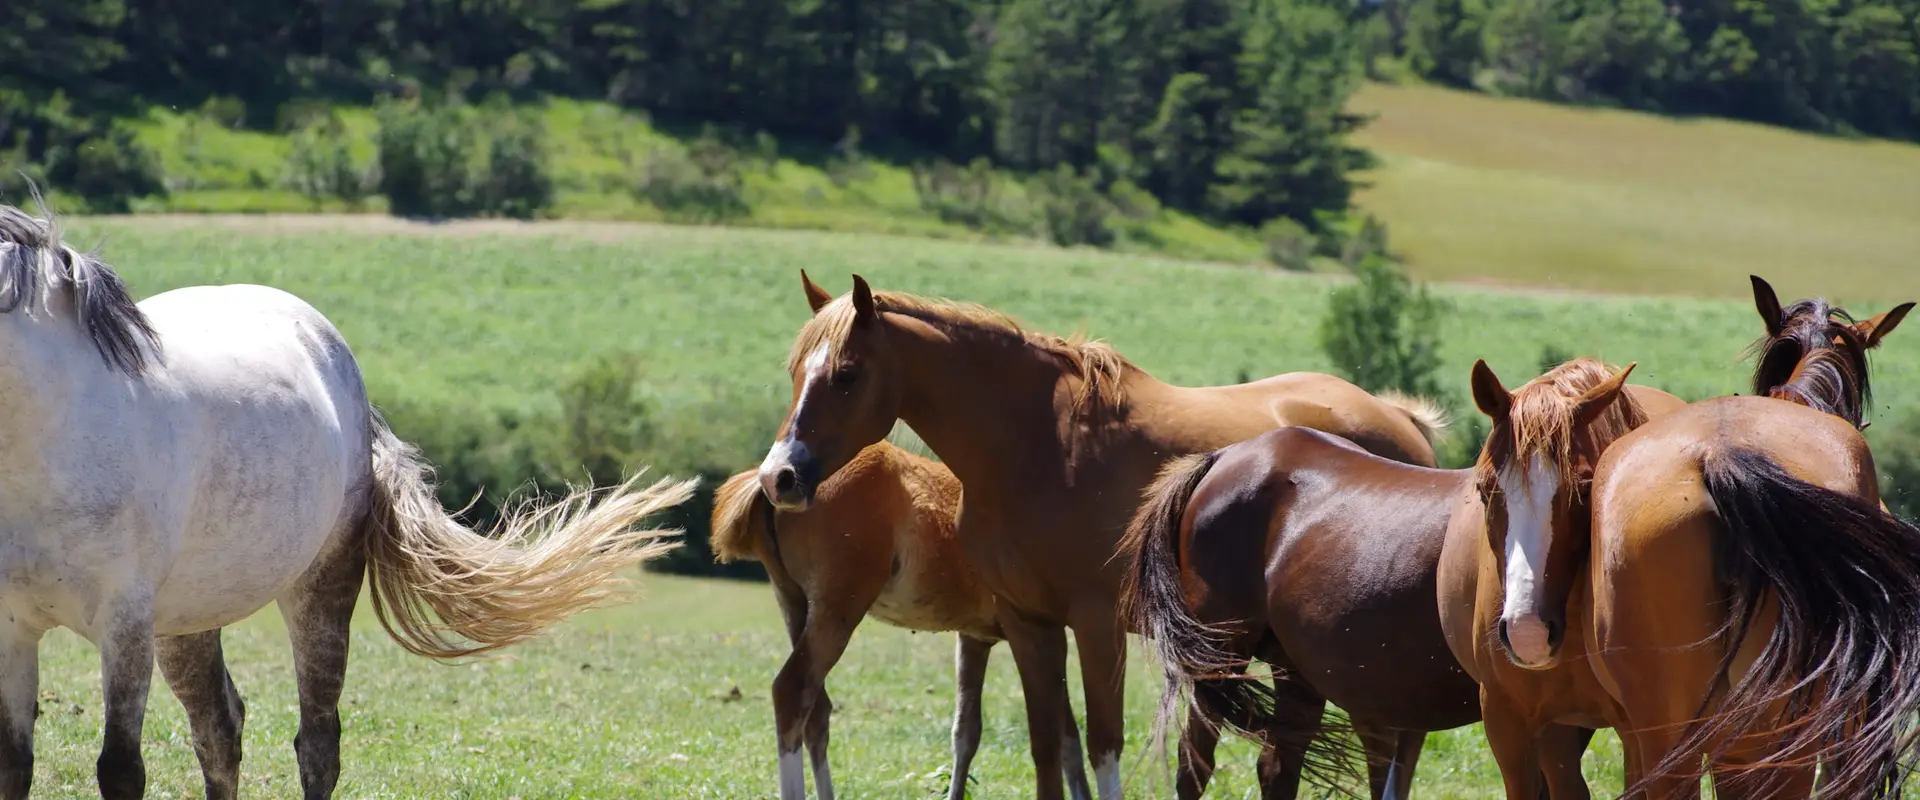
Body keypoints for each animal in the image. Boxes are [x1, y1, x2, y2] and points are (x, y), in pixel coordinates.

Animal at [0, 201, 697, 800]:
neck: (48, 440)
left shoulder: (124, 628)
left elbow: (120, 769)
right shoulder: (14, 629)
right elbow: (16, 765)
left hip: (318, 587)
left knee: (316, 742)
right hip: (188, 615)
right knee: (219, 729)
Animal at [711, 439, 1092, 800]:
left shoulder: (975, 637)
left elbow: (966, 732)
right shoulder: (1034, 632)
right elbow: (1068, 739)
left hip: (794, 605)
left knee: (815, 710)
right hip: (836, 610)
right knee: (792, 691)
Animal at [753, 272, 1449, 800]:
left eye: (846, 373)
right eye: (793, 372)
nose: (778, 477)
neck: (1036, 445)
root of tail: (1400, 422)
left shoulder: (1097, 624)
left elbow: (1101, 744)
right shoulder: (1029, 625)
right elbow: (1047, 746)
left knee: (1389, 751)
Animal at [1122, 358, 1681, 800]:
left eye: (1585, 487)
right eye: (1485, 489)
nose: (1525, 631)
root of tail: (1228, 458)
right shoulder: (1529, 721)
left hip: (1294, 670)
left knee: (1277, 766)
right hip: (1219, 660)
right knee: (1195, 768)